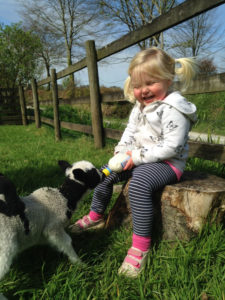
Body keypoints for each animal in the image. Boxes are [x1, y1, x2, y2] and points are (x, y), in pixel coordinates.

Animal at [0, 159, 103, 298]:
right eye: (93, 173)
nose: (102, 173)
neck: (65, 197)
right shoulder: (54, 228)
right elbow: (67, 242)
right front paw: (79, 263)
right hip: (5, 247)